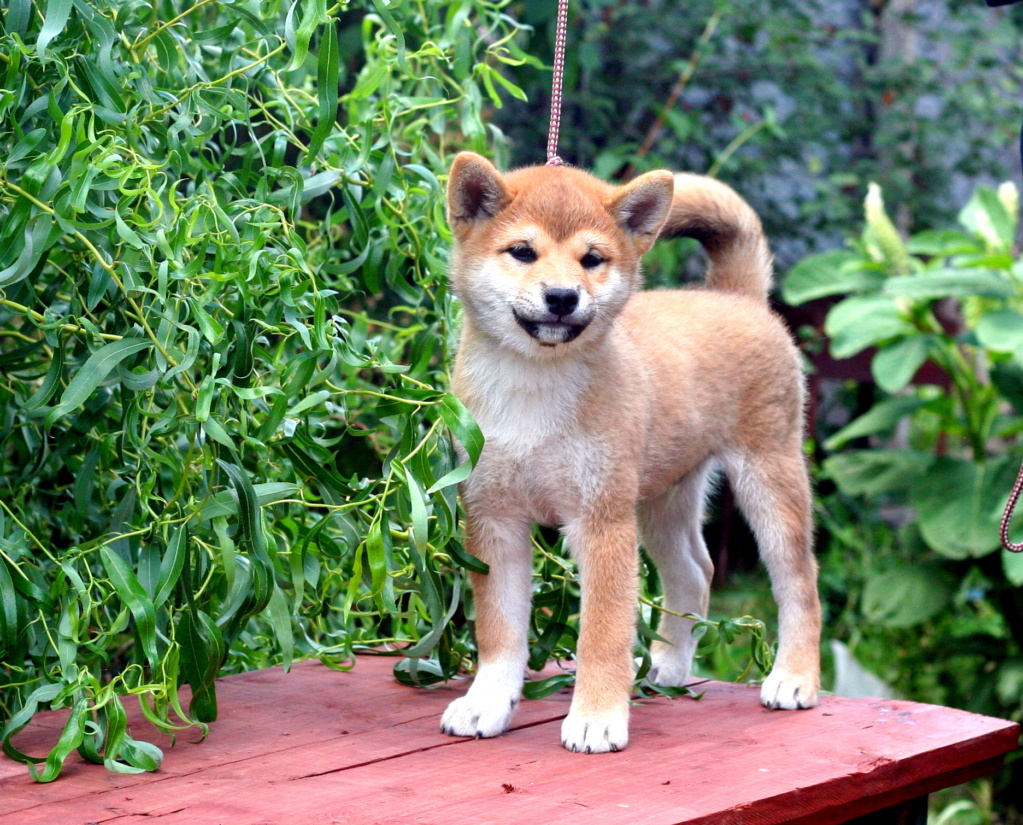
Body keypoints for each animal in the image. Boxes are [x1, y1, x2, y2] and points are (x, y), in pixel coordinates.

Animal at [439, 153, 822, 757]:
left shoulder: (601, 522)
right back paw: (667, 665)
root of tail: (734, 295)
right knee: (696, 572)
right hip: (663, 500)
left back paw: (795, 677)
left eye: (592, 259)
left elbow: (602, 633)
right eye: (522, 251)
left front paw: (596, 717)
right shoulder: (494, 519)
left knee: (799, 581)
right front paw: (486, 703)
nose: (563, 297)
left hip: (767, 478)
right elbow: (499, 632)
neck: (534, 394)